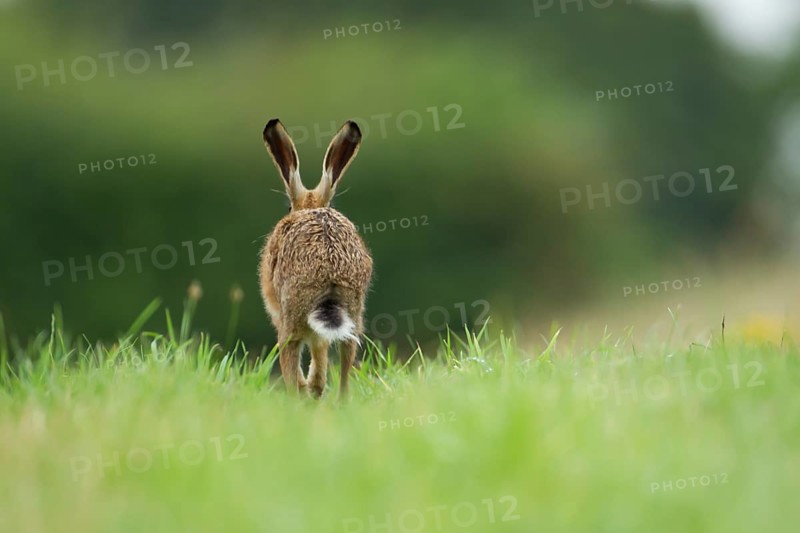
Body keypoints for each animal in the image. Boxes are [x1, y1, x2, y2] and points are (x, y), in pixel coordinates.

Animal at [259, 119, 373, 399]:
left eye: (289, 206)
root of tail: (330, 275)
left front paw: (307, 387)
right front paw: (315, 387)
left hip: (289, 320)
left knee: (290, 359)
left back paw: (298, 395)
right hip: (353, 316)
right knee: (345, 363)